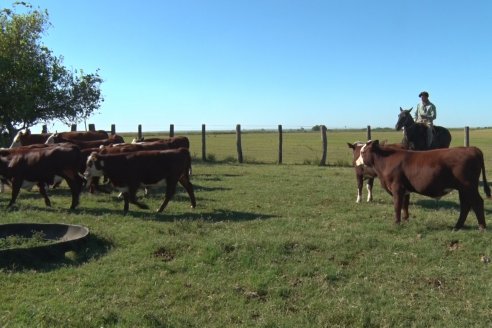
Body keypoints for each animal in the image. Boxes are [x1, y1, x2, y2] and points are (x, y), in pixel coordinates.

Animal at [356, 140, 490, 229]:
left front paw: (396, 223)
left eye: (362, 151)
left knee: (477, 202)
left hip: (469, 186)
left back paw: (482, 227)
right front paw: (405, 220)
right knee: (466, 205)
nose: (356, 162)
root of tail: (471, 148)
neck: (386, 161)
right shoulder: (405, 190)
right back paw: (457, 226)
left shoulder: (397, 188)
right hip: (463, 188)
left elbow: (397, 206)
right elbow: (405, 206)